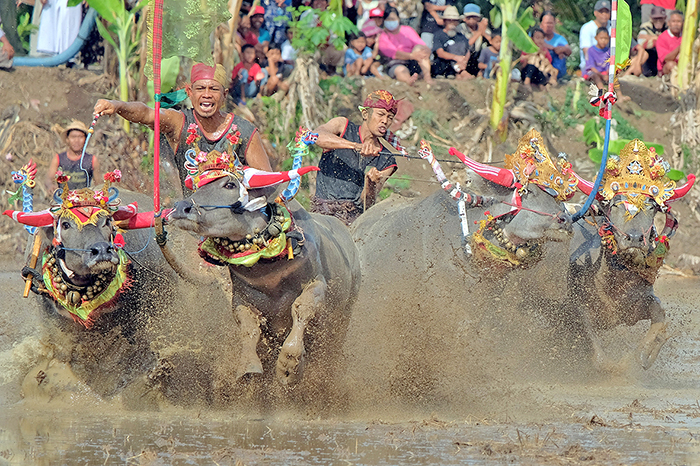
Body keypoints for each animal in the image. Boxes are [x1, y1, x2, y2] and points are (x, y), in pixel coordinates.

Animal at [166, 129, 358, 388]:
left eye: (229, 184)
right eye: (198, 186)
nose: (180, 208)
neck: (268, 267)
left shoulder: (316, 284)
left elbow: (301, 308)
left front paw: (290, 363)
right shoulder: (241, 298)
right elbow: (249, 327)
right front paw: (248, 367)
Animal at [568, 140, 696, 370]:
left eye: (651, 207)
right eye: (616, 204)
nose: (635, 238)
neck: (613, 283)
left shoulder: (639, 302)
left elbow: (660, 320)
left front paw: (645, 355)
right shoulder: (578, 308)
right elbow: (598, 356)